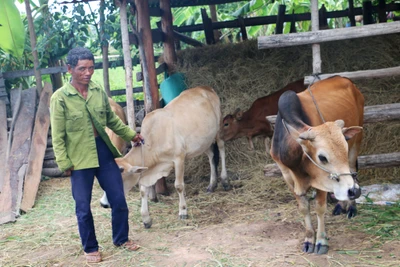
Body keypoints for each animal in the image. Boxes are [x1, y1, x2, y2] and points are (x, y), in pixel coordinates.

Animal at [101, 87, 230, 229]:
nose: (103, 204)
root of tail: (205, 88)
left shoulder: (179, 158)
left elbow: (179, 186)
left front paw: (183, 211)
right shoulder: (145, 171)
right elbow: (143, 191)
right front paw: (146, 219)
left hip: (218, 129)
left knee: (222, 149)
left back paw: (224, 180)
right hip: (203, 141)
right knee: (211, 156)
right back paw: (212, 185)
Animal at [270, 76, 364, 255]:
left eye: (344, 148)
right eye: (322, 157)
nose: (354, 191)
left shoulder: (322, 183)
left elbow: (320, 208)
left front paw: (321, 241)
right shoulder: (287, 176)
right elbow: (303, 208)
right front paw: (308, 239)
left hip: (356, 145)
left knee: (352, 169)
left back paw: (351, 208)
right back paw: (341, 205)